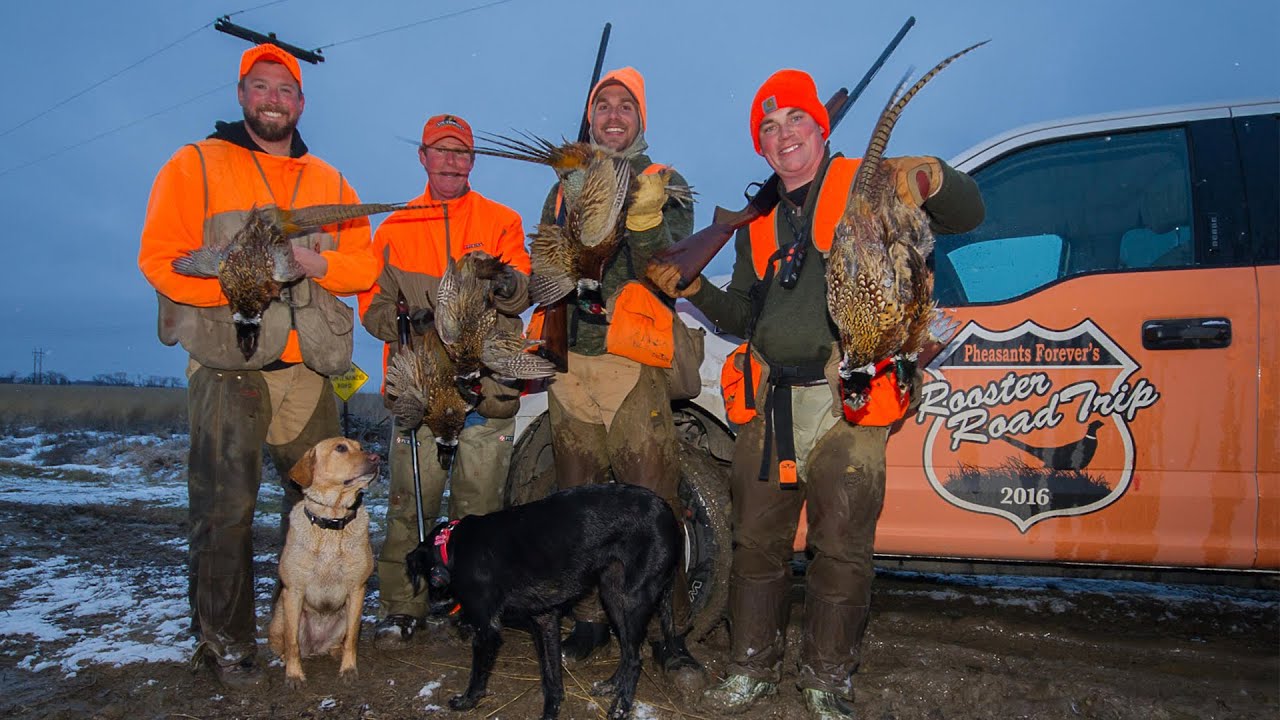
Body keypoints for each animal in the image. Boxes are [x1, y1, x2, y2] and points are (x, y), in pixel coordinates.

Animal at [264, 435, 373, 686]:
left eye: (361, 447)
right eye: (340, 448)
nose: (377, 457)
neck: (332, 523)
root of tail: (316, 647)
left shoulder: (357, 589)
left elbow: (352, 639)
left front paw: (349, 669)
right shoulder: (294, 591)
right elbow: (292, 642)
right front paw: (294, 674)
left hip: (345, 616)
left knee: (341, 640)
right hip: (281, 617)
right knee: (286, 644)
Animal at [407, 481, 680, 717]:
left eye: (430, 578)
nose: (434, 608)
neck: (451, 546)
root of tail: (668, 512)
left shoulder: (486, 629)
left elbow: (477, 675)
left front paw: (467, 701)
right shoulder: (544, 619)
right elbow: (551, 677)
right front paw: (552, 710)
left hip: (634, 599)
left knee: (635, 659)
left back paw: (621, 706)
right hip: (612, 596)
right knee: (626, 650)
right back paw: (612, 685)